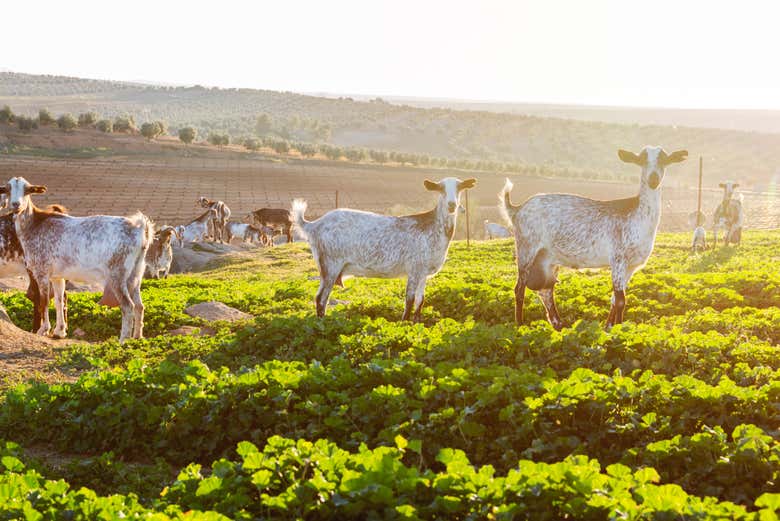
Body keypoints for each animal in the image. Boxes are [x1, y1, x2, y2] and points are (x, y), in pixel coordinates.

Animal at [2, 177, 154, 342]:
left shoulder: (41, 272)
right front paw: (59, 331)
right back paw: (138, 338)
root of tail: (139, 229)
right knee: (139, 305)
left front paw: (43, 330)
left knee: (128, 306)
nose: (16, 204)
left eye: (27, 189)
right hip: (136, 273)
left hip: (117, 274)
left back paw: (123, 341)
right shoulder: (57, 276)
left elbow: (44, 301)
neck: (34, 224)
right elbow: (58, 300)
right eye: (8, 189)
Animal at [292, 177, 476, 321]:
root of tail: (313, 225)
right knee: (321, 298)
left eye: (459, 187)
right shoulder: (414, 268)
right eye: (441, 189)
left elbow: (420, 300)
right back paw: (322, 323)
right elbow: (409, 299)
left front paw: (417, 323)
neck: (433, 227)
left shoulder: (424, 273)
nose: (452, 205)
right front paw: (404, 323)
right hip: (330, 265)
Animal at [500, 146, 687, 330]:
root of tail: (517, 209)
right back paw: (520, 325)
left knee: (545, 290)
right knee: (520, 288)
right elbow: (621, 300)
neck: (637, 216)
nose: (653, 179)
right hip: (526, 247)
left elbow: (616, 299)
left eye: (664, 159)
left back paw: (559, 325)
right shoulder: (618, 258)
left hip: (547, 258)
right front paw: (618, 329)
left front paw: (609, 327)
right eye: (641, 159)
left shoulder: (631, 266)